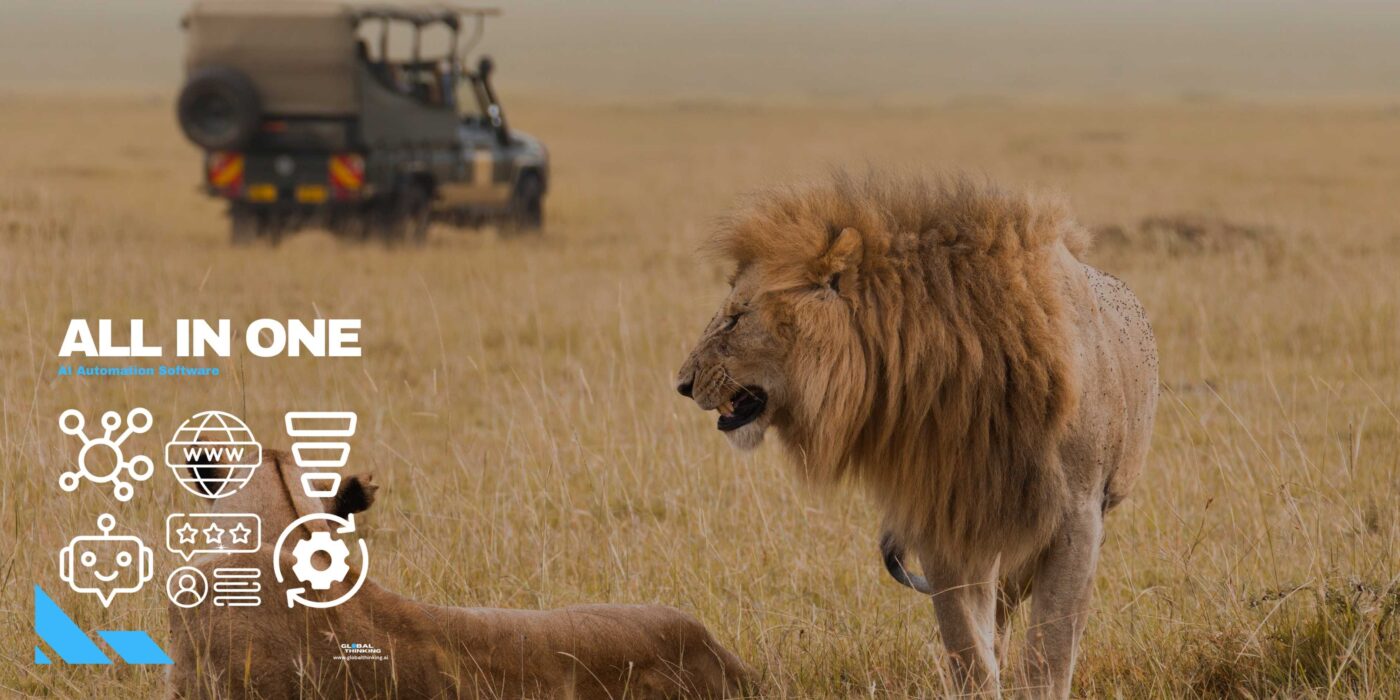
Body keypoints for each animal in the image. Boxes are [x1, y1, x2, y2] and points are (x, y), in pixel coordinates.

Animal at [676, 171, 1158, 697]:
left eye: (736, 317)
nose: (682, 383)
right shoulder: (945, 516)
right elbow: (967, 645)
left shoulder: (1078, 518)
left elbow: (1049, 651)